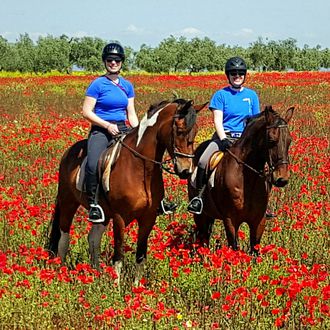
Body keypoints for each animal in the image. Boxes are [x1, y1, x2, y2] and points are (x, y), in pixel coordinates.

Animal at [46, 98, 206, 284]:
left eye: (196, 130)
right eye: (179, 131)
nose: (186, 170)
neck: (140, 168)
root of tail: (69, 152)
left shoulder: (148, 218)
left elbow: (141, 255)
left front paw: (136, 287)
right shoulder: (119, 217)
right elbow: (119, 254)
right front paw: (116, 287)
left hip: (103, 214)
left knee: (93, 239)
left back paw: (97, 274)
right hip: (68, 202)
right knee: (64, 238)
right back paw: (61, 273)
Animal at [188, 104, 294, 254]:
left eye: (289, 141)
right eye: (271, 140)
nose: (282, 178)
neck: (247, 180)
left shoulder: (258, 221)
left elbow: (254, 250)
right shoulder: (230, 220)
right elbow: (234, 248)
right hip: (200, 216)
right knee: (203, 239)